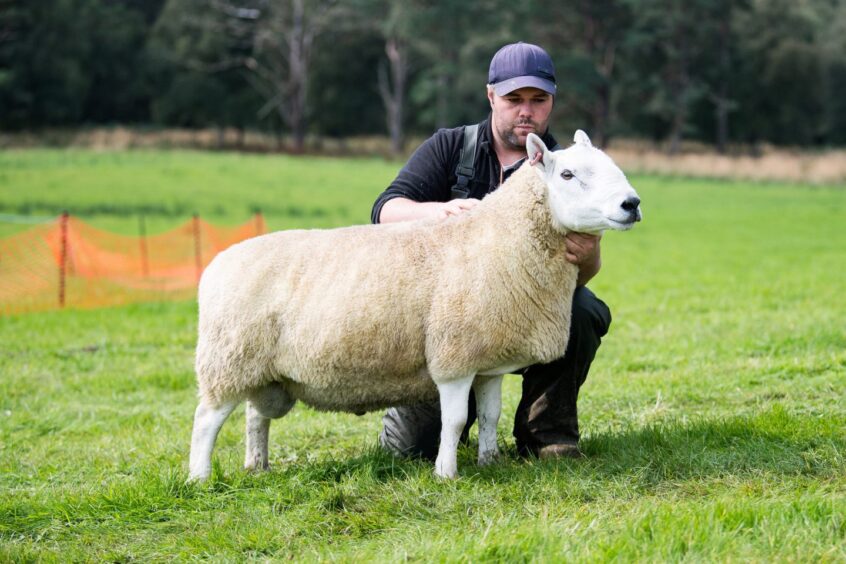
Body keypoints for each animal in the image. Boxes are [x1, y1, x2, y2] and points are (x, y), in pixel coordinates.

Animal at [190, 131, 644, 480]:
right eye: (567, 174)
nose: (632, 204)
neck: (500, 239)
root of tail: (217, 264)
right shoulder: (453, 356)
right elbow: (455, 420)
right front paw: (446, 473)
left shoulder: (489, 360)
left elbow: (491, 416)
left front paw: (490, 462)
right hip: (227, 360)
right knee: (206, 420)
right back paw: (200, 478)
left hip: (263, 371)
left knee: (255, 417)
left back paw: (258, 467)